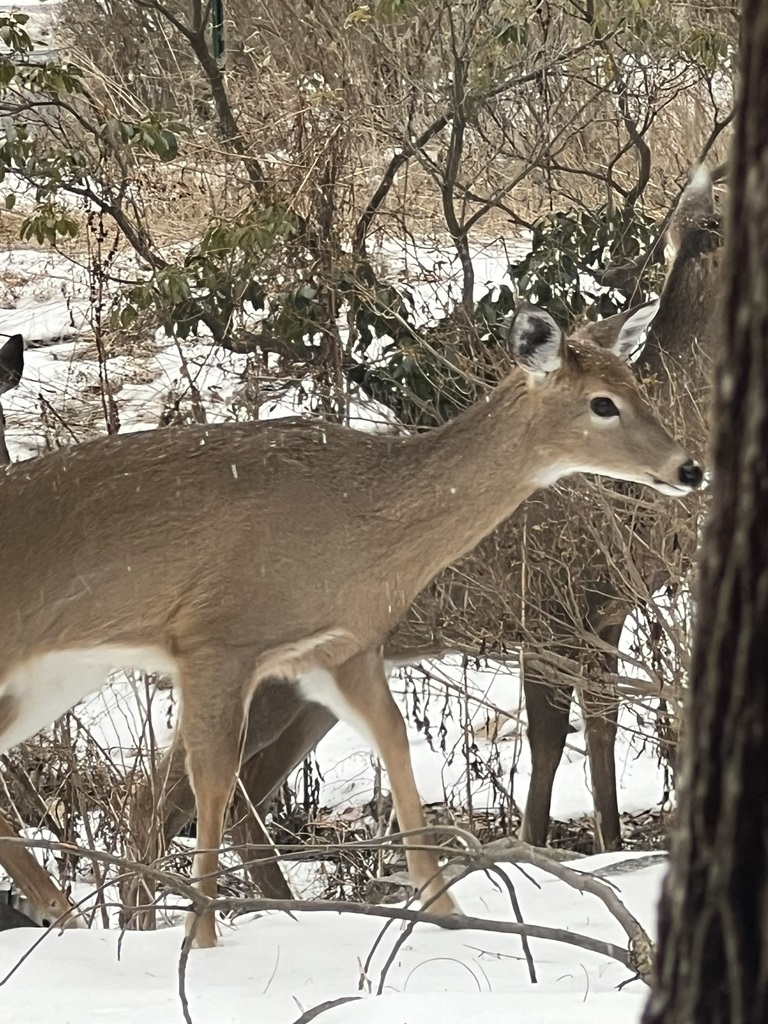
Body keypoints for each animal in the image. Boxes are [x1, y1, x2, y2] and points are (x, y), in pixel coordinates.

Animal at [0, 299, 702, 948]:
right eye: (602, 404)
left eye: (638, 385)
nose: (688, 467)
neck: (354, 522)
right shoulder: (218, 636)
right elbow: (212, 782)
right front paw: (203, 938)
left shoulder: (341, 647)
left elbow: (393, 739)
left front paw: (448, 912)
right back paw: (74, 916)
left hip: (54, 676)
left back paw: (65, 915)